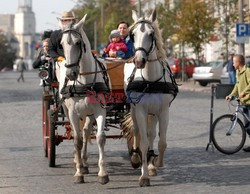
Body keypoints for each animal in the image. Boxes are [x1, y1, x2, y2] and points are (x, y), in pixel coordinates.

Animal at [58, 14, 110, 184]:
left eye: (78, 43)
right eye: (61, 44)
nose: (70, 74)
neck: (84, 81)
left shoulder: (100, 110)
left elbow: (100, 137)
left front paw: (103, 173)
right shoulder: (73, 113)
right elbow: (77, 141)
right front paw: (79, 172)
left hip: (90, 113)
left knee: (86, 132)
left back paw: (85, 162)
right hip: (67, 112)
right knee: (79, 135)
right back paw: (78, 162)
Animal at [123, 10, 178, 186]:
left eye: (151, 34)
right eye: (133, 35)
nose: (139, 61)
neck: (150, 80)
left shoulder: (163, 111)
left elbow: (162, 142)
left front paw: (157, 163)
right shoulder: (140, 110)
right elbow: (143, 142)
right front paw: (144, 176)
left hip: (153, 113)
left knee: (151, 133)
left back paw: (152, 164)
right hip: (134, 109)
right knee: (136, 130)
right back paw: (135, 158)